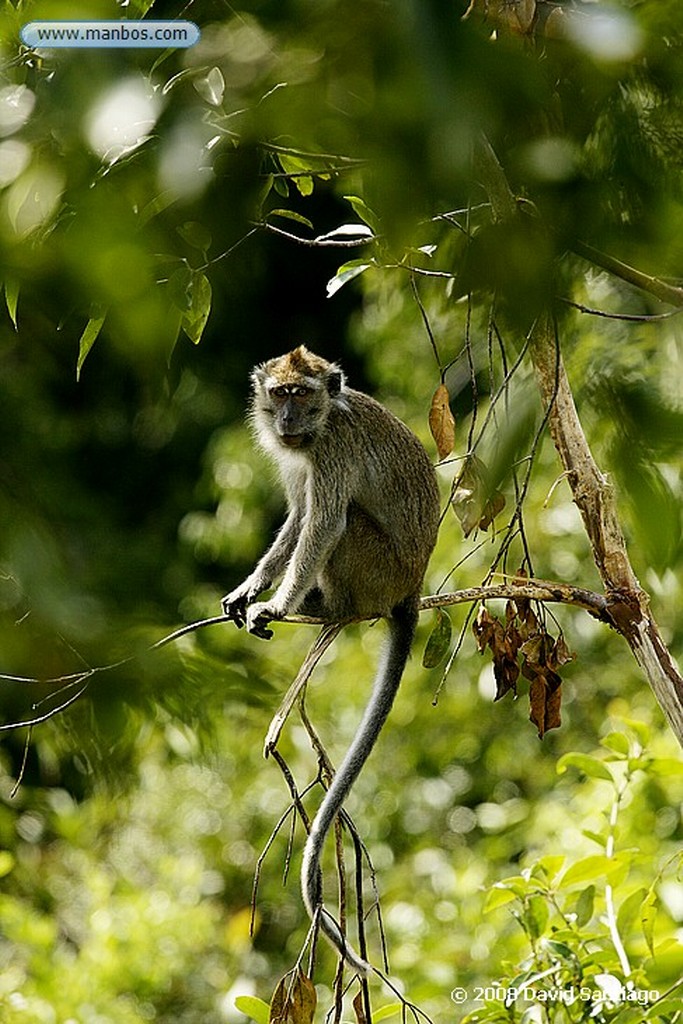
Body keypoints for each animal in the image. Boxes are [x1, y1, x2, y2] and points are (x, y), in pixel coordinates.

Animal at [222, 348, 440, 970]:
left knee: (344, 524)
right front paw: (251, 587)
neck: (318, 429)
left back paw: (322, 604)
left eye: (301, 393)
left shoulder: (333, 451)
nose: (286, 418)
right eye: (280, 392)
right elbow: (297, 517)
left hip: (376, 570)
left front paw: (277, 601)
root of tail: (409, 590)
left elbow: (320, 525)